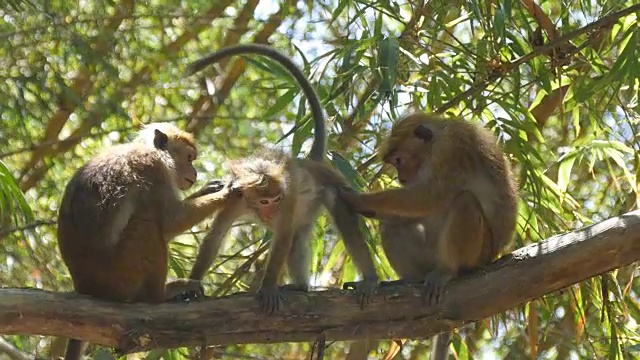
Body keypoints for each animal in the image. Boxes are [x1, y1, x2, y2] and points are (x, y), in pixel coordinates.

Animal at [56, 122, 241, 358]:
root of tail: (84, 287)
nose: (195, 172)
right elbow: (171, 221)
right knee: (146, 225)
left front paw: (210, 188)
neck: (153, 151)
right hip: (120, 276)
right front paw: (226, 192)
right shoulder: (154, 170)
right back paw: (159, 296)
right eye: (189, 158)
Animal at [185, 43, 380, 316]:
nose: (270, 212)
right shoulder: (235, 198)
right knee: (299, 237)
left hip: (326, 186)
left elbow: (283, 237)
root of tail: (309, 163)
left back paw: (369, 280)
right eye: (265, 202)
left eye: (276, 200)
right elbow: (216, 236)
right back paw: (300, 286)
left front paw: (267, 287)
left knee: (340, 220)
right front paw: (192, 283)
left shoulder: (288, 198)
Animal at [340, 113, 520, 360]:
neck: (437, 138)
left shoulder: (451, 150)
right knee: (394, 224)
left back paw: (448, 271)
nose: (401, 178)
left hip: (478, 252)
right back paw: (410, 279)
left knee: (465, 202)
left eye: (398, 160)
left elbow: (429, 197)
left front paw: (359, 200)